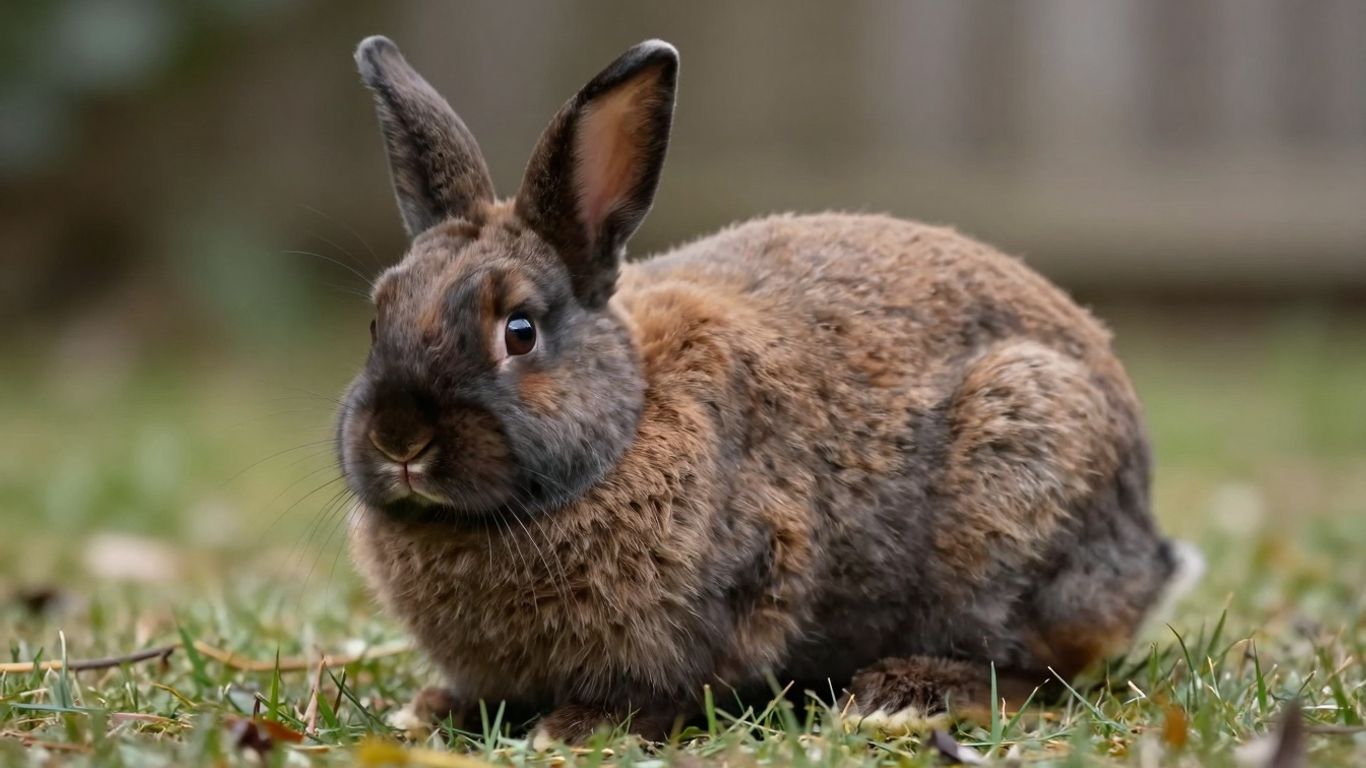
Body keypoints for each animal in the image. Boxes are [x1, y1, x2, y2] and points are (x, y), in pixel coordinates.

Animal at [337, 36, 1202, 744]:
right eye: (376, 321)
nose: (399, 437)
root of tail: (1143, 551)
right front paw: (435, 708)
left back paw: (902, 694)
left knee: (1032, 670)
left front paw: (580, 726)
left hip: (1017, 477)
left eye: (519, 331)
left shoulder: (748, 579)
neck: (629, 419)